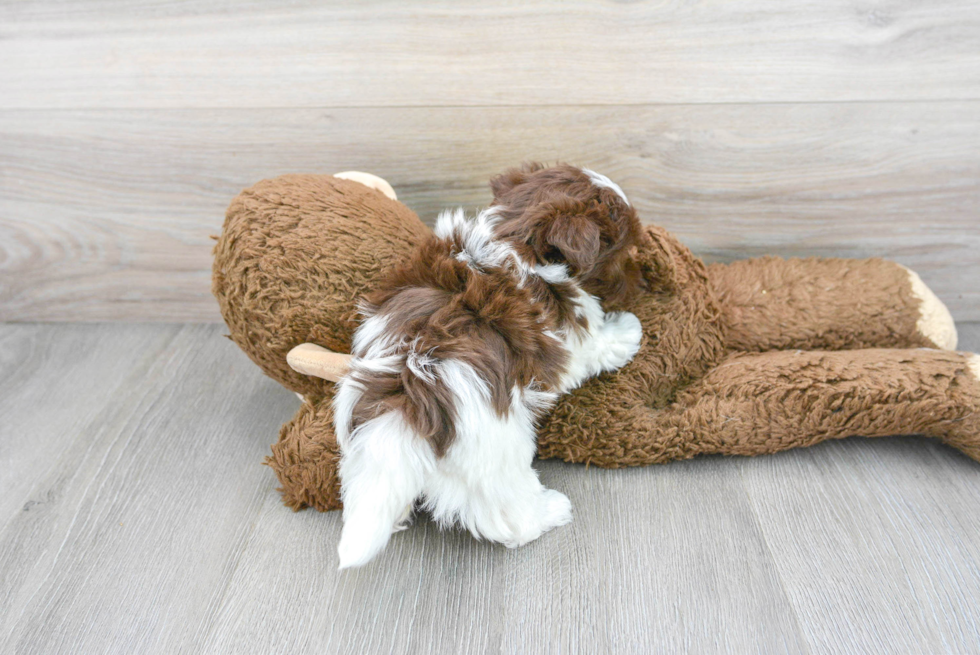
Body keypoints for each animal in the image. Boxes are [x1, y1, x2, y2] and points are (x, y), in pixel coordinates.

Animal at [334, 164, 648, 568]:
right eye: (626, 251)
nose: (642, 277)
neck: (512, 236)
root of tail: (411, 397)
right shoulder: (574, 334)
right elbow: (599, 343)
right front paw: (628, 330)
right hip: (497, 448)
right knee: (507, 515)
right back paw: (549, 511)